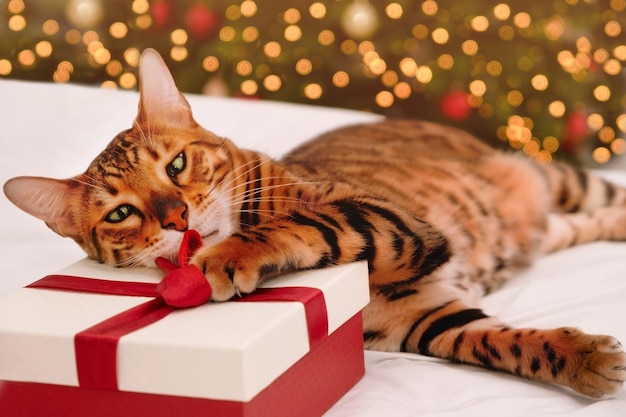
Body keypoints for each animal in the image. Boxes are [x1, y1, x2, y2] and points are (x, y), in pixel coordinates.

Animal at [4, 48, 624, 396]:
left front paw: (225, 257)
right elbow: (505, 342)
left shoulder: (389, 218)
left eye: (176, 165)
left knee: (608, 196)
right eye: (121, 213)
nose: (178, 217)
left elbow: (305, 223)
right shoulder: (426, 319)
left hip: (554, 178)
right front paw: (583, 359)